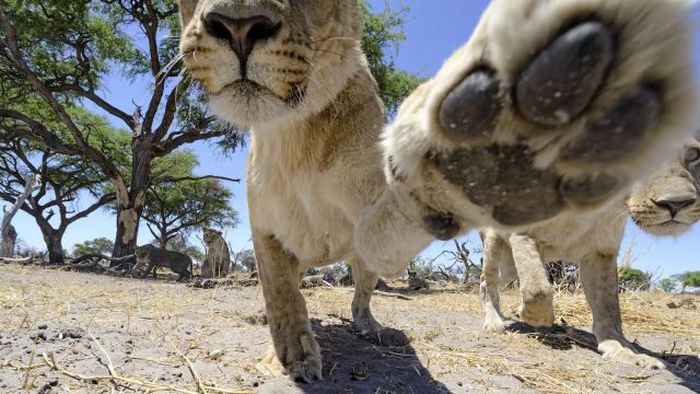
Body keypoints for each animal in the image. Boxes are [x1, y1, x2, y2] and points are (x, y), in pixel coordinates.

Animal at [482, 139, 700, 370]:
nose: (676, 203)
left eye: (694, 153)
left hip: (510, 268)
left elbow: (608, 308)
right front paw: (527, 314)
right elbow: (538, 290)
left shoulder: (601, 252)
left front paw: (624, 351)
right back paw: (493, 322)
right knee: (487, 281)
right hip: (495, 240)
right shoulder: (523, 233)